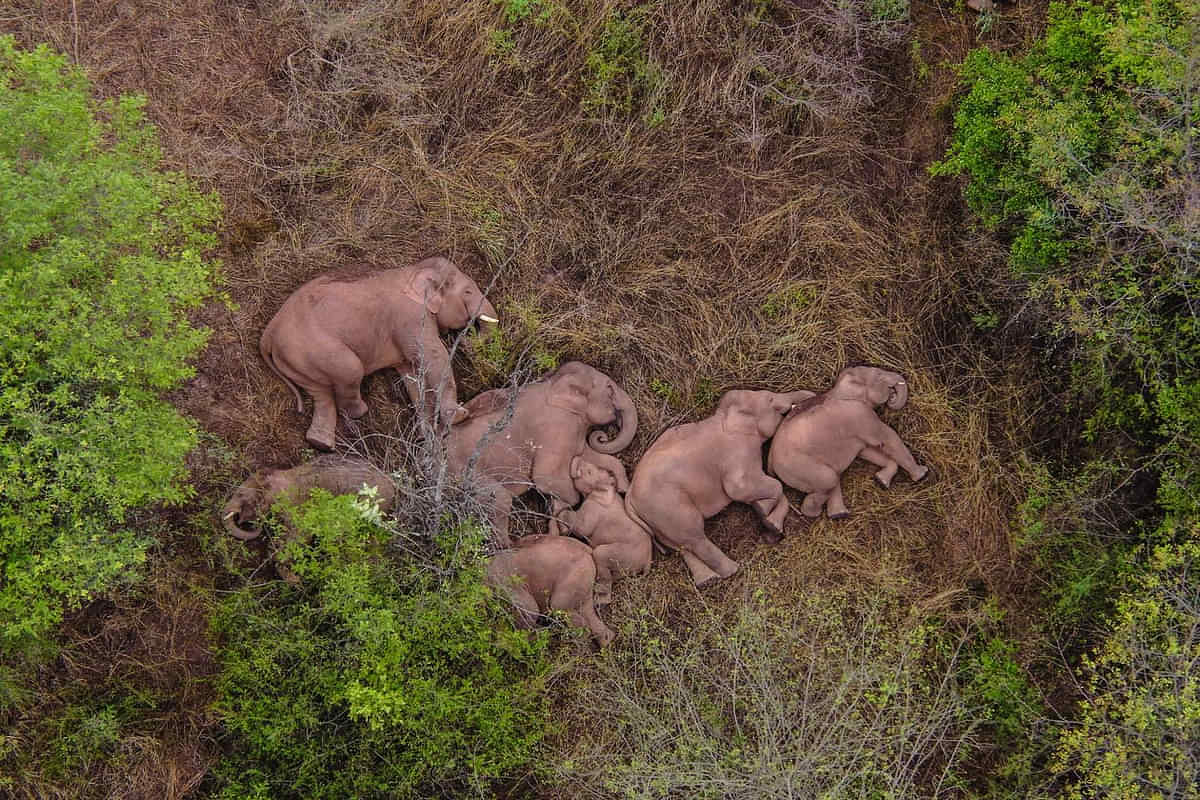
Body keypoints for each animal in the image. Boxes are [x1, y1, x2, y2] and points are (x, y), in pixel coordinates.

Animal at [260, 260, 499, 453]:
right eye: (468, 292)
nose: (465, 337)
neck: (414, 270)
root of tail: (268, 333)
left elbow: (413, 373)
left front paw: (426, 436)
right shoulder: (411, 317)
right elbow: (433, 356)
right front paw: (460, 416)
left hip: (297, 360)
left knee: (321, 394)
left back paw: (321, 444)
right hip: (313, 348)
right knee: (350, 370)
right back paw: (359, 412)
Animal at [446, 364, 638, 546]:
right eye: (610, 389)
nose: (602, 436)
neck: (553, 382)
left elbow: (589, 455)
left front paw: (621, 487)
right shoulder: (557, 427)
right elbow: (545, 477)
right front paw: (561, 518)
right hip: (464, 472)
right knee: (501, 499)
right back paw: (513, 545)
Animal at [554, 455, 652, 606]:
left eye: (589, 472)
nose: (577, 457)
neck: (605, 488)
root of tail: (648, 559)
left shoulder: (593, 507)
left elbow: (582, 528)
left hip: (623, 553)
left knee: (600, 555)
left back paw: (600, 600)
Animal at [619, 388, 816, 587]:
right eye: (769, 398)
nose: (811, 397)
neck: (724, 416)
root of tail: (629, 498)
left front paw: (767, 518)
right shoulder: (737, 453)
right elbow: (742, 488)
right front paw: (764, 511)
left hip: (657, 520)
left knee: (681, 545)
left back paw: (707, 580)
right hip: (668, 507)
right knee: (694, 536)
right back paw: (732, 570)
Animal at [763, 367, 931, 520]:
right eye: (878, 374)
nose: (892, 396)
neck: (839, 388)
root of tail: (770, 460)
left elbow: (866, 451)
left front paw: (881, 481)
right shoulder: (861, 414)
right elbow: (888, 438)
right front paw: (922, 474)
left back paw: (839, 514)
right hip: (798, 467)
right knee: (830, 479)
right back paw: (816, 514)